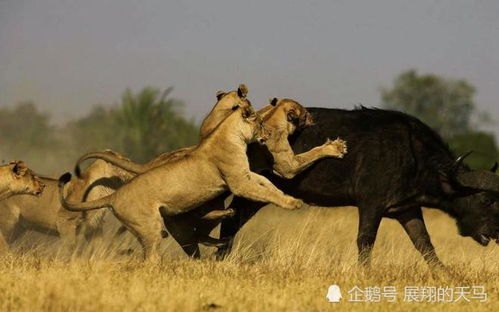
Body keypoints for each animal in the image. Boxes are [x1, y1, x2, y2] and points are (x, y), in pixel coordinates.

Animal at [58, 105, 308, 260]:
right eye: (260, 123)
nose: (270, 133)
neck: (231, 135)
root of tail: (114, 196)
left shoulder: (246, 175)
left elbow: (269, 185)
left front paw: (289, 198)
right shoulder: (239, 182)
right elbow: (266, 193)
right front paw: (292, 204)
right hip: (150, 226)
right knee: (151, 257)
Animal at [217, 106, 499, 266]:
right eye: (486, 200)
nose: (496, 232)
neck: (413, 154)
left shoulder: (406, 209)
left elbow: (424, 244)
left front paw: (447, 275)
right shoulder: (371, 204)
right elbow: (366, 240)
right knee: (231, 221)